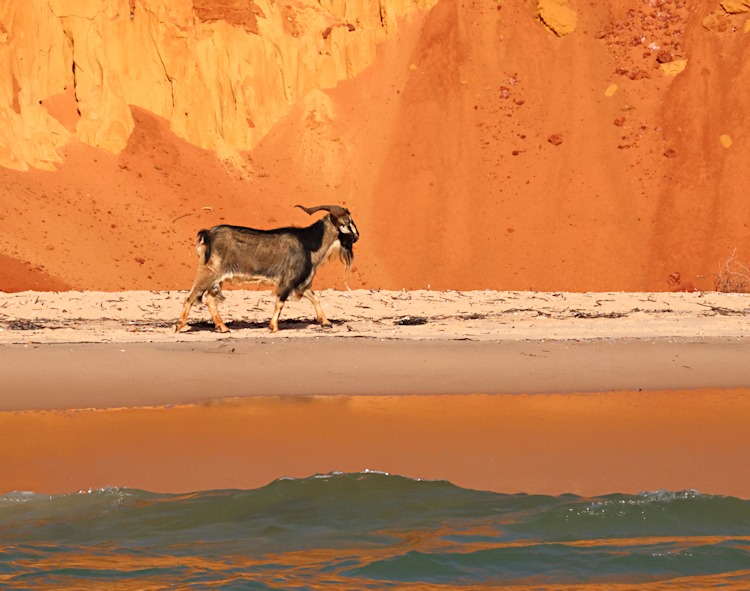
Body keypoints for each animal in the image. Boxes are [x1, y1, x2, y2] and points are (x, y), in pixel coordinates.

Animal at [175, 204, 360, 332]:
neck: (309, 243)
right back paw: (179, 326)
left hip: (217, 279)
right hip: (209, 272)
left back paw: (223, 328)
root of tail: (207, 234)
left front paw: (325, 322)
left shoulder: (300, 282)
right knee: (190, 297)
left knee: (210, 300)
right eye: (348, 222)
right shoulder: (289, 279)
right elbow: (280, 302)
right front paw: (274, 327)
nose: (357, 236)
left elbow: (314, 298)